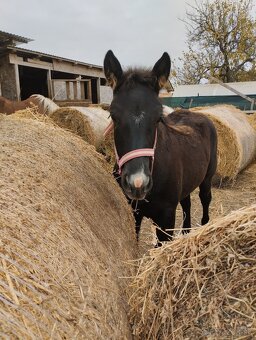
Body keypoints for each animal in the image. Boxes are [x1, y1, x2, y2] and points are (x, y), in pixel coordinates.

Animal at [103, 50, 217, 244]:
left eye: (158, 117)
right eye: (114, 116)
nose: (138, 184)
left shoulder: (166, 218)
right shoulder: (133, 212)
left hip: (207, 179)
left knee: (205, 199)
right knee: (186, 203)